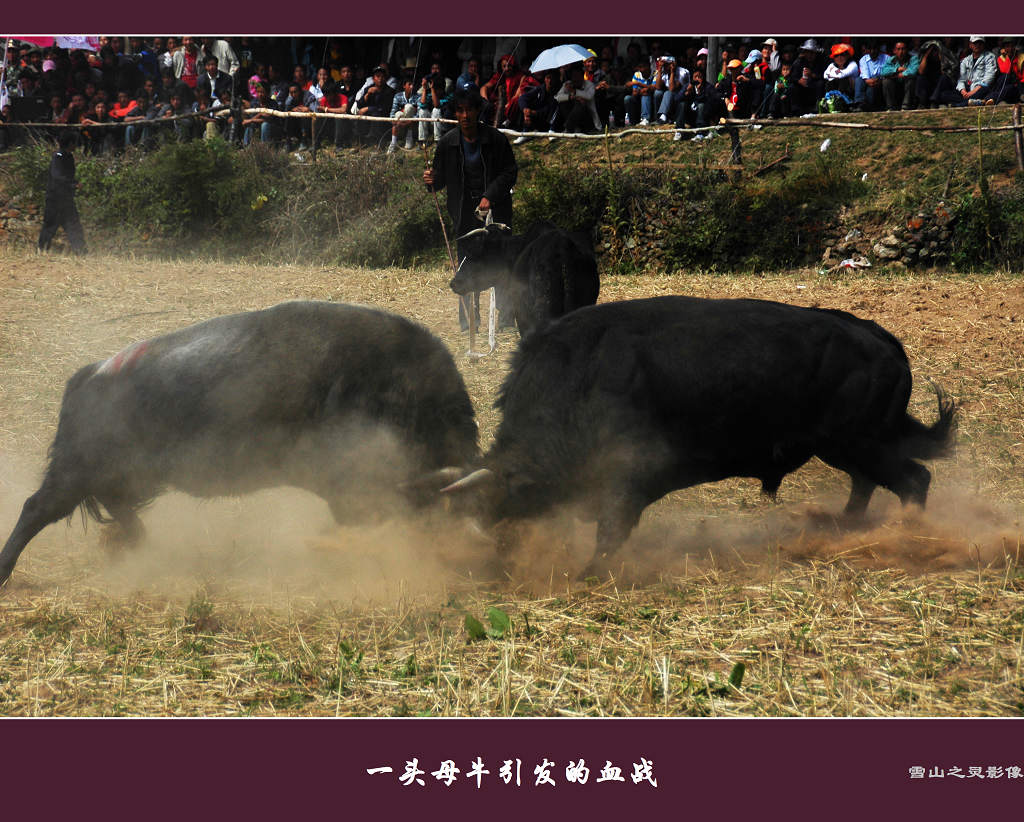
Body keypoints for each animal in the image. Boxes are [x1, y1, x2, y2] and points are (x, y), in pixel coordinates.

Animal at [0, 303, 479, 585]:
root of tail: (91, 374)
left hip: (122, 476)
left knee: (118, 509)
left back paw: (146, 550)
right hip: (74, 473)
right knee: (35, 508)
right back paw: (6, 572)